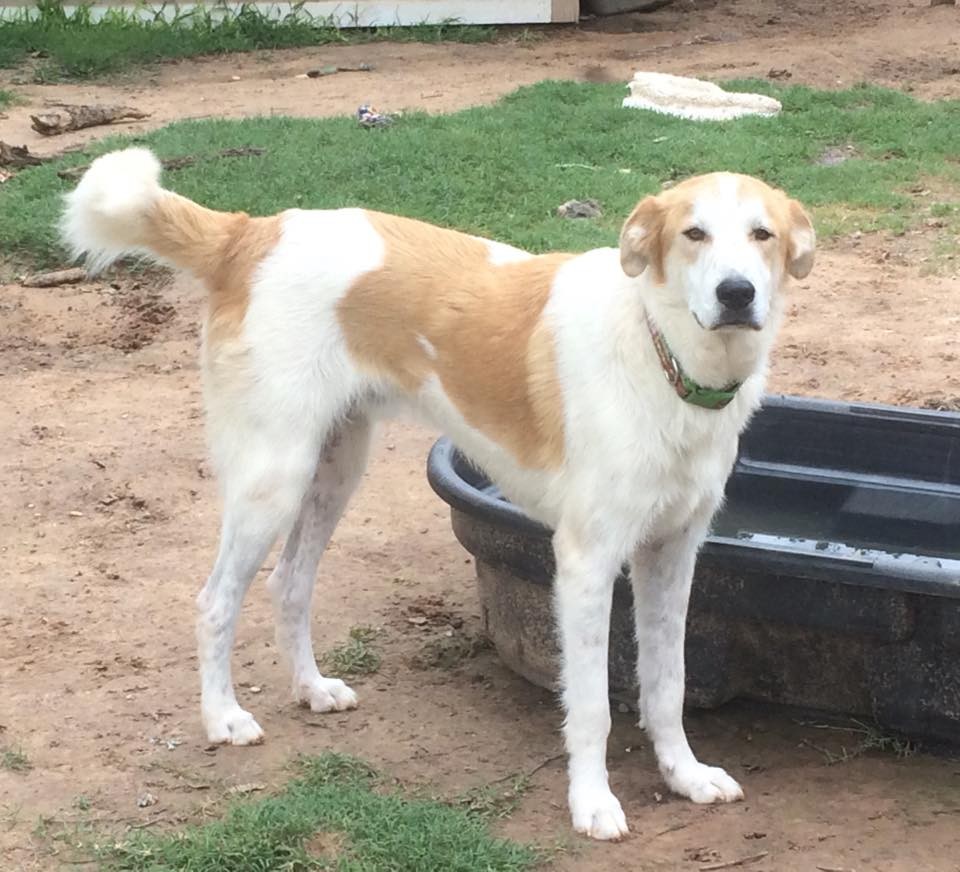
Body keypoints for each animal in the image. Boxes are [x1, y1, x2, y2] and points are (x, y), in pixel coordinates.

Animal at [62, 150, 808, 836]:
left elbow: (668, 684)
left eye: (762, 235)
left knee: (289, 583)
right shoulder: (586, 561)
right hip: (272, 477)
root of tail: (251, 231)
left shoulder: (672, 552)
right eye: (693, 234)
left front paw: (685, 775)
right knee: (216, 601)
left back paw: (310, 689)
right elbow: (592, 705)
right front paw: (592, 804)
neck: (662, 353)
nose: (737, 293)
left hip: (334, 468)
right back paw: (222, 718)